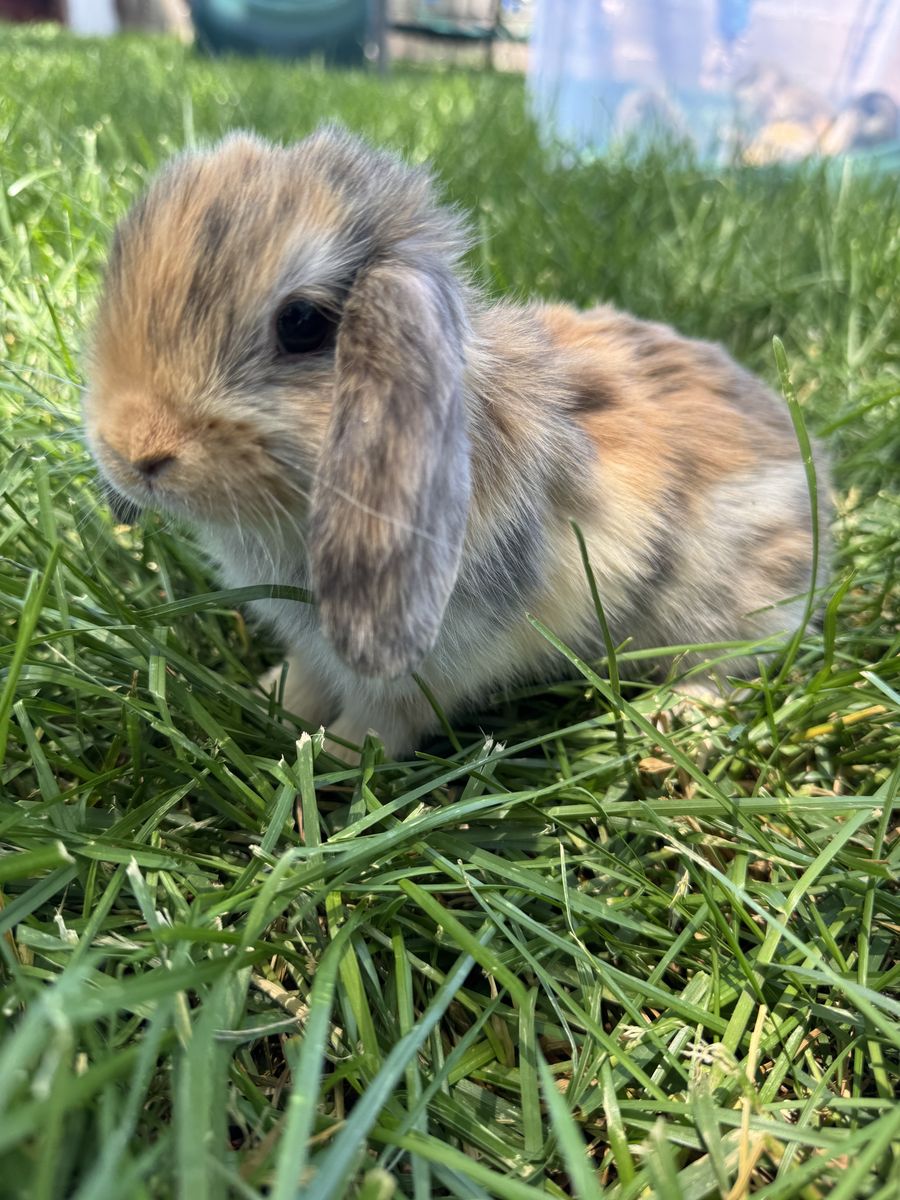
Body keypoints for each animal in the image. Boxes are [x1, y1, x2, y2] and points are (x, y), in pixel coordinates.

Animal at [84, 127, 830, 759]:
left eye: (301, 324)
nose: (135, 451)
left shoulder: (434, 659)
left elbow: (387, 718)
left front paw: (335, 762)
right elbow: (308, 677)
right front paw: (273, 703)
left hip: (721, 604)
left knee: (728, 666)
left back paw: (674, 720)